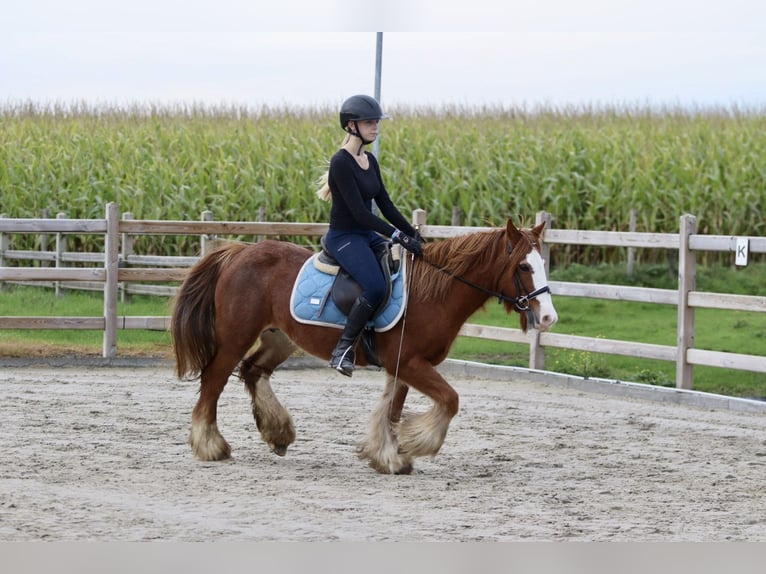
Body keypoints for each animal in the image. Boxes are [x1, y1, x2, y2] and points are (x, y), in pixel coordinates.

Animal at [172, 218, 560, 474]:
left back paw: (277, 433)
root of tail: (239, 252)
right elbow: (449, 400)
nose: (547, 318)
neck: (433, 293)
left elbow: (391, 409)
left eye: (542, 264)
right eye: (523, 266)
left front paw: (389, 455)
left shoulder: (403, 366)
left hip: (279, 338)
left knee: (253, 370)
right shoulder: (412, 363)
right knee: (214, 380)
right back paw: (210, 446)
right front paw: (413, 444)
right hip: (234, 338)